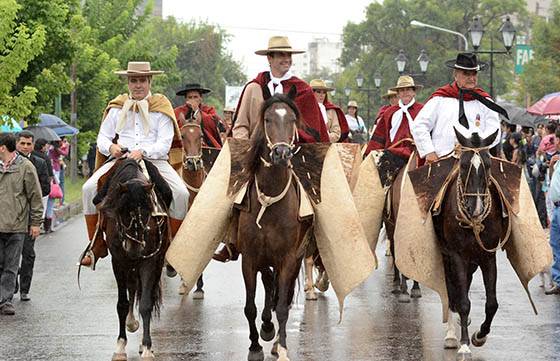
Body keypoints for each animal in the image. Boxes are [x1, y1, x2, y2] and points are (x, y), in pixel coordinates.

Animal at [98, 160, 173, 360]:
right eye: (123, 212)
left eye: (147, 212)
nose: (135, 249)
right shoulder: (118, 261)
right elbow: (122, 304)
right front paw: (120, 346)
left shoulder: (149, 261)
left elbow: (146, 304)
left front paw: (147, 347)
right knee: (132, 288)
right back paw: (131, 323)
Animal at [237, 88, 312, 360]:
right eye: (267, 119)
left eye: (292, 119)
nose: (281, 154)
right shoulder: (249, 258)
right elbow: (250, 306)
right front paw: (255, 346)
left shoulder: (289, 258)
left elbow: (282, 305)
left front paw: (283, 348)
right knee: (269, 283)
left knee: (282, 295)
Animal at [430, 128, 506, 358]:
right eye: (463, 165)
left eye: (488, 165)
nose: (476, 208)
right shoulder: (457, 256)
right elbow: (462, 301)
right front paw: (464, 343)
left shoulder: (488, 257)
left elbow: (492, 303)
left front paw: (480, 336)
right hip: (448, 258)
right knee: (452, 292)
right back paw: (451, 335)